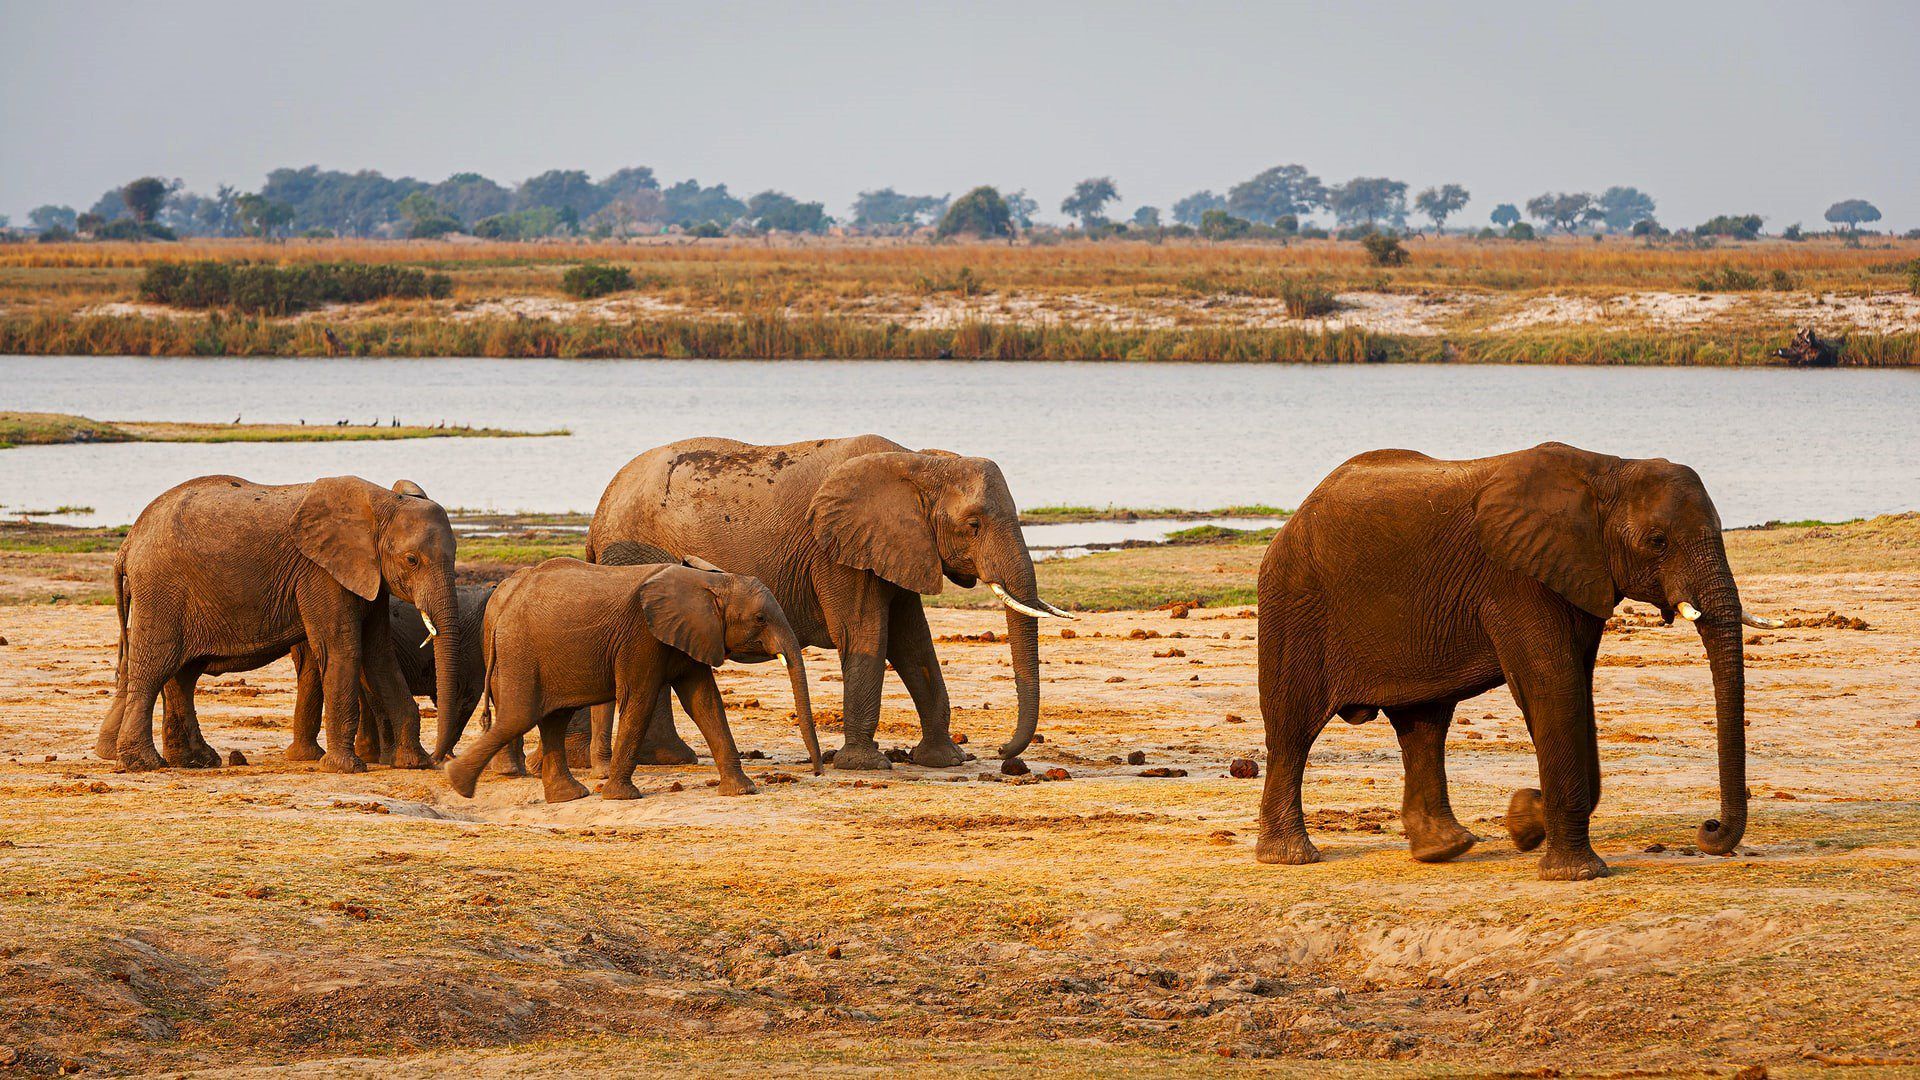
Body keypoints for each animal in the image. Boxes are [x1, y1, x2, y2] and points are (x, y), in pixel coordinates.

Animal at [95, 474, 464, 774]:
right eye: (412, 560)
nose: (439, 759)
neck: (380, 501)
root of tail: (128, 543)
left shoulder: (368, 577)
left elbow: (379, 656)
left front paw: (413, 763)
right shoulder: (320, 573)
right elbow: (343, 649)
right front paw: (345, 768)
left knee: (181, 675)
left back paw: (195, 761)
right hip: (161, 591)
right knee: (155, 667)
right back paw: (144, 763)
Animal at [443, 558, 822, 803]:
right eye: (760, 618)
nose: (818, 772)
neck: (709, 581)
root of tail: (502, 606)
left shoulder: (690, 634)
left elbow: (704, 702)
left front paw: (743, 790)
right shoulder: (641, 636)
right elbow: (640, 700)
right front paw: (622, 797)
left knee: (552, 719)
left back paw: (567, 797)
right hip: (521, 653)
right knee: (520, 716)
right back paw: (458, 783)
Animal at [583, 435, 1070, 773]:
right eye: (973, 525)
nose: (1004, 750)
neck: (918, 461)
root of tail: (601, 505)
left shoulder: (897, 548)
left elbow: (913, 643)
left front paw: (944, 760)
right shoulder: (835, 552)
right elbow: (865, 633)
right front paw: (865, 766)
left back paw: (669, 759)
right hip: (637, 555)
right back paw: (670, 760)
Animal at [1254, 442, 1779, 880]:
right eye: (1657, 541)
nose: (1708, 828)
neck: (1608, 470)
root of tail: (1296, 515)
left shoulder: (1578, 573)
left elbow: (1576, 684)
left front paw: (1524, 821)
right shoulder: (1515, 577)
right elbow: (1552, 682)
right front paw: (1574, 872)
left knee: (1423, 725)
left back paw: (1445, 849)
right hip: (1294, 602)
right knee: (1293, 729)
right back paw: (1291, 857)